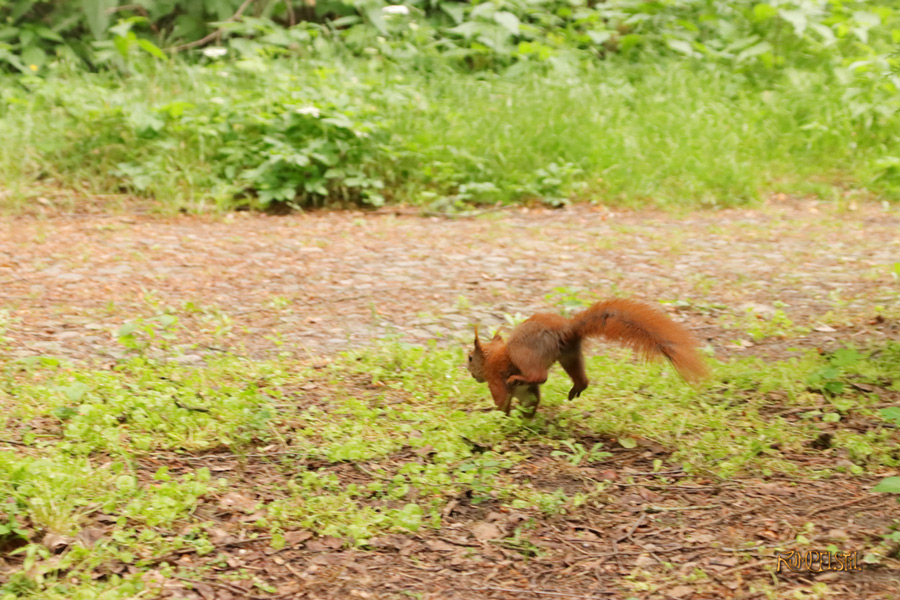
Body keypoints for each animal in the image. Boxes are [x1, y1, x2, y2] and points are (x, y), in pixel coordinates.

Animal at [466, 298, 708, 416]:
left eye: (469, 358)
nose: (468, 372)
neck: (493, 356)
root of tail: (565, 330)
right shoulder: (526, 393)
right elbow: (530, 401)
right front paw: (524, 418)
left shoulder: (495, 378)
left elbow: (501, 399)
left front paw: (500, 417)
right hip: (569, 355)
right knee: (579, 376)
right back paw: (578, 387)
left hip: (524, 352)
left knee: (539, 376)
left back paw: (520, 377)